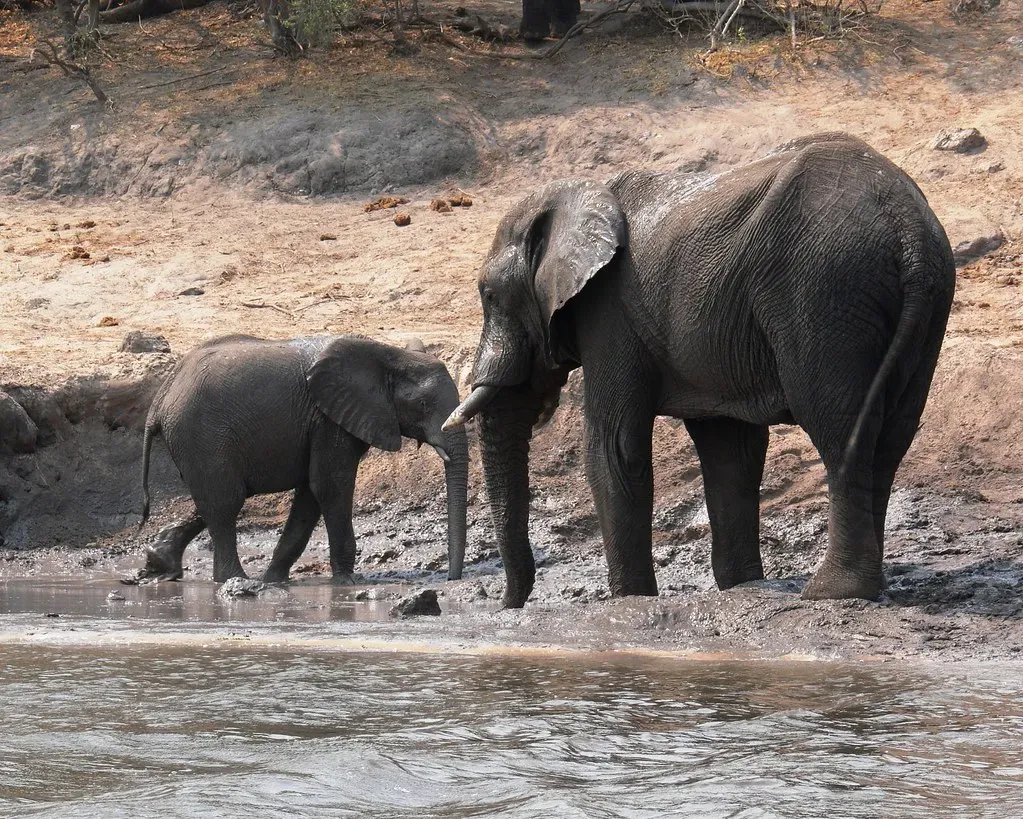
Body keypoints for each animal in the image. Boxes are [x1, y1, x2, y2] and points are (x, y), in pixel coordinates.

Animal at [136, 334, 468, 584]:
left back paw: (162, 564)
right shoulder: (328, 419)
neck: (390, 352)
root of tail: (159, 399)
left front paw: (275, 580)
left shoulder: (325, 421)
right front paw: (346, 582)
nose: (451, 579)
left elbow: (310, 492)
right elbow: (330, 486)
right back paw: (234, 581)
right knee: (225, 501)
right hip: (201, 434)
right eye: (422, 405)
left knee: (211, 498)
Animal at [445, 132, 956, 608]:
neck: (578, 194)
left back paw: (832, 592)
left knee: (842, 435)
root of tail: (908, 227)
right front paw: (742, 587)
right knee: (890, 440)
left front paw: (630, 601)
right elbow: (729, 450)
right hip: (923, 298)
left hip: (825, 293)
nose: (506, 604)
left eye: (488, 295)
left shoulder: (610, 313)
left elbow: (614, 448)